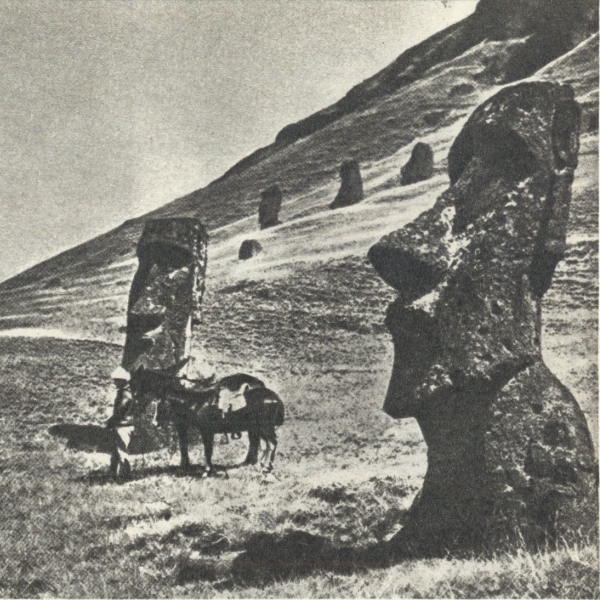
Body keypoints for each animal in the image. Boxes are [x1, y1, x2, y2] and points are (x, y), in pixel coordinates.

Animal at [153, 374, 285, 476]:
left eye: (162, 405)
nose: (154, 423)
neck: (198, 404)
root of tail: (277, 399)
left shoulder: (206, 431)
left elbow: (208, 451)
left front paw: (207, 470)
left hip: (265, 427)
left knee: (271, 443)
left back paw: (265, 466)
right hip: (259, 428)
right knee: (263, 443)